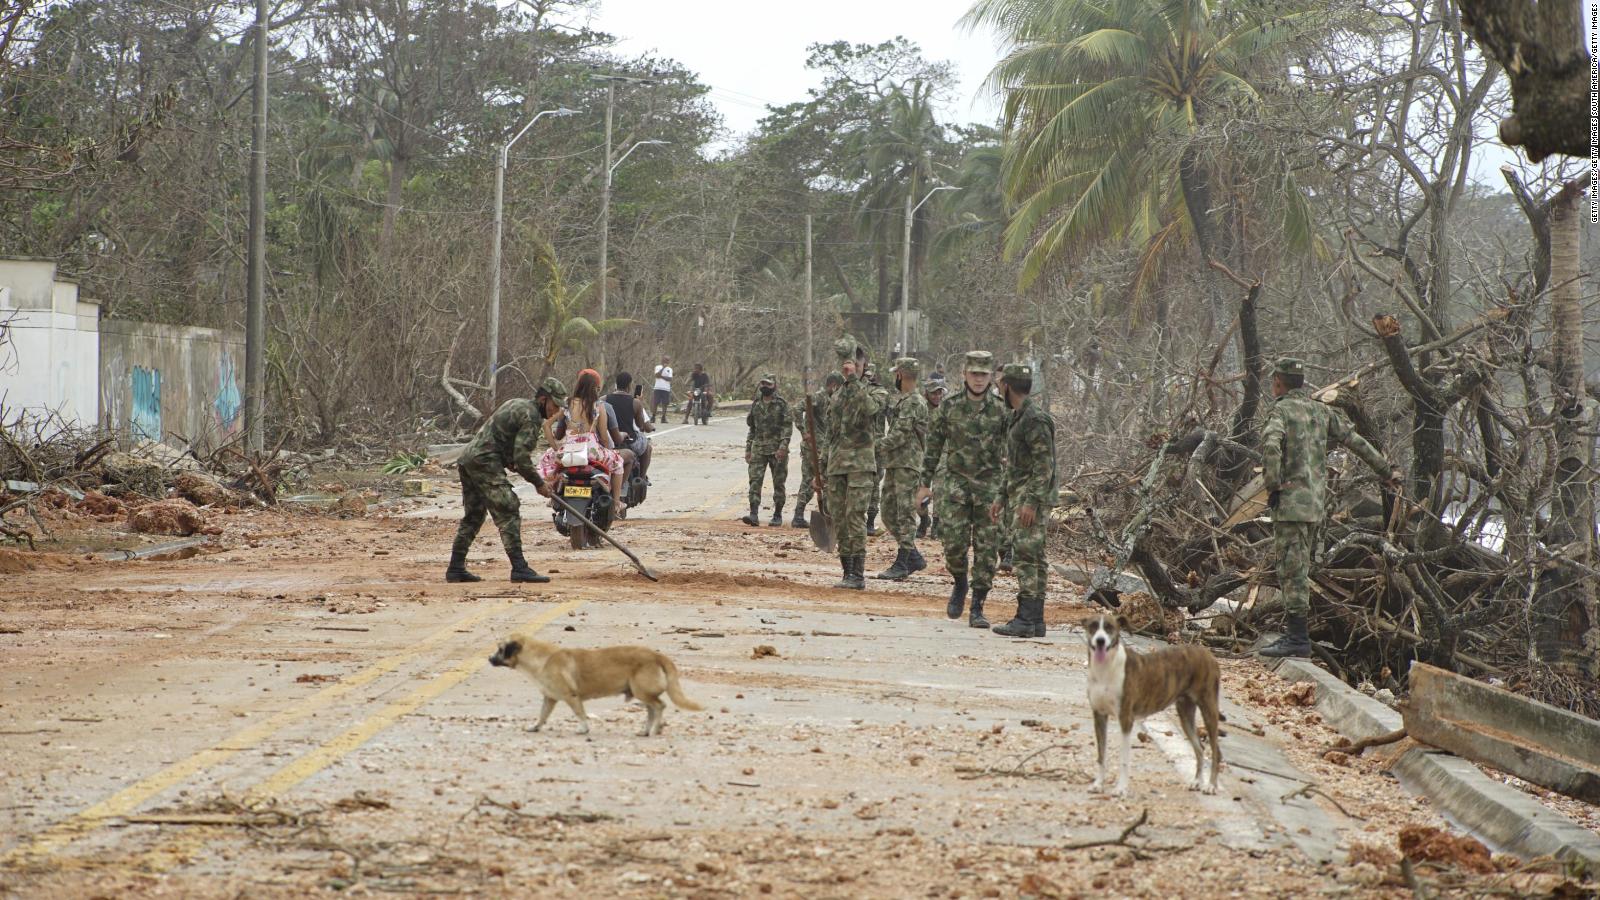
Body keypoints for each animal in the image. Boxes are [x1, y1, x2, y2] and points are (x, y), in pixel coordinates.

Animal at [489, 630, 704, 736]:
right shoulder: (549, 699)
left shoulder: (571, 697)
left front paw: (583, 729)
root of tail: (657, 655)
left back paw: (654, 730)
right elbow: (542, 716)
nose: (489, 659)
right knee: (652, 710)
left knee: (660, 706)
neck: (541, 658)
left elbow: (580, 714)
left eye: (500, 649)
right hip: (640, 694)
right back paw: (645, 731)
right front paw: (535, 727)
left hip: (643, 693)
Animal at [1088, 608, 1222, 791]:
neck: (1106, 668)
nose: (1100, 641)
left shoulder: (1126, 720)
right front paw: (1098, 784)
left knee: (1216, 751)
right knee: (1200, 748)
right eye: (1093, 626)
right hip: (1185, 714)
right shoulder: (1099, 715)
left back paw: (1211, 785)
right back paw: (1197, 781)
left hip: (1209, 709)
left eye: (1110, 628)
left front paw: (1121, 789)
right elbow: (1101, 755)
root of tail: (1209, 655)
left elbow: (1124, 759)